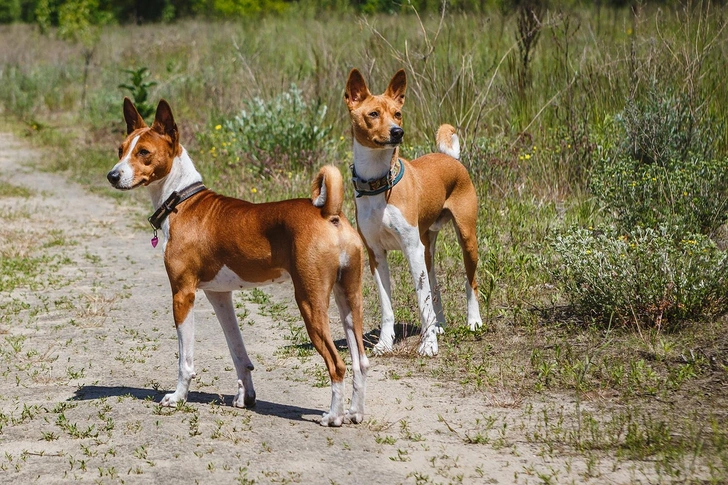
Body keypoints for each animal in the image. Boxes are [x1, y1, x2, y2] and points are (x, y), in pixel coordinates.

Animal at [106, 97, 370, 424]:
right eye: (121, 150)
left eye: (143, 152)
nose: (113, 175)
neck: (181, 200)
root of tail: (329, 212)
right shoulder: (219, 295)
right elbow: (238, 351)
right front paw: (246, 396)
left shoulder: (183, 294)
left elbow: (185, 360)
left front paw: (178, 397)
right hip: (349, 298)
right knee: (360, 361)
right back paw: (355, 412)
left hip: (310, 301)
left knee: (337, 363)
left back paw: (333, 416)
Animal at [342, 68, 480, 356]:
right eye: (373, 114)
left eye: (397, 113)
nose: (397, 132)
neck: (379, 184)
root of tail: (451, 159)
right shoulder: (376, 254)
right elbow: (387, 306)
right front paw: (385, 343)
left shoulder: (411, 248)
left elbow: (422, 302)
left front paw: (428, 345)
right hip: (427, 248)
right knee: (434, 285)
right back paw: (440, 324)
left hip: (466, 237)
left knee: (470, 281)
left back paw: (473, 322)